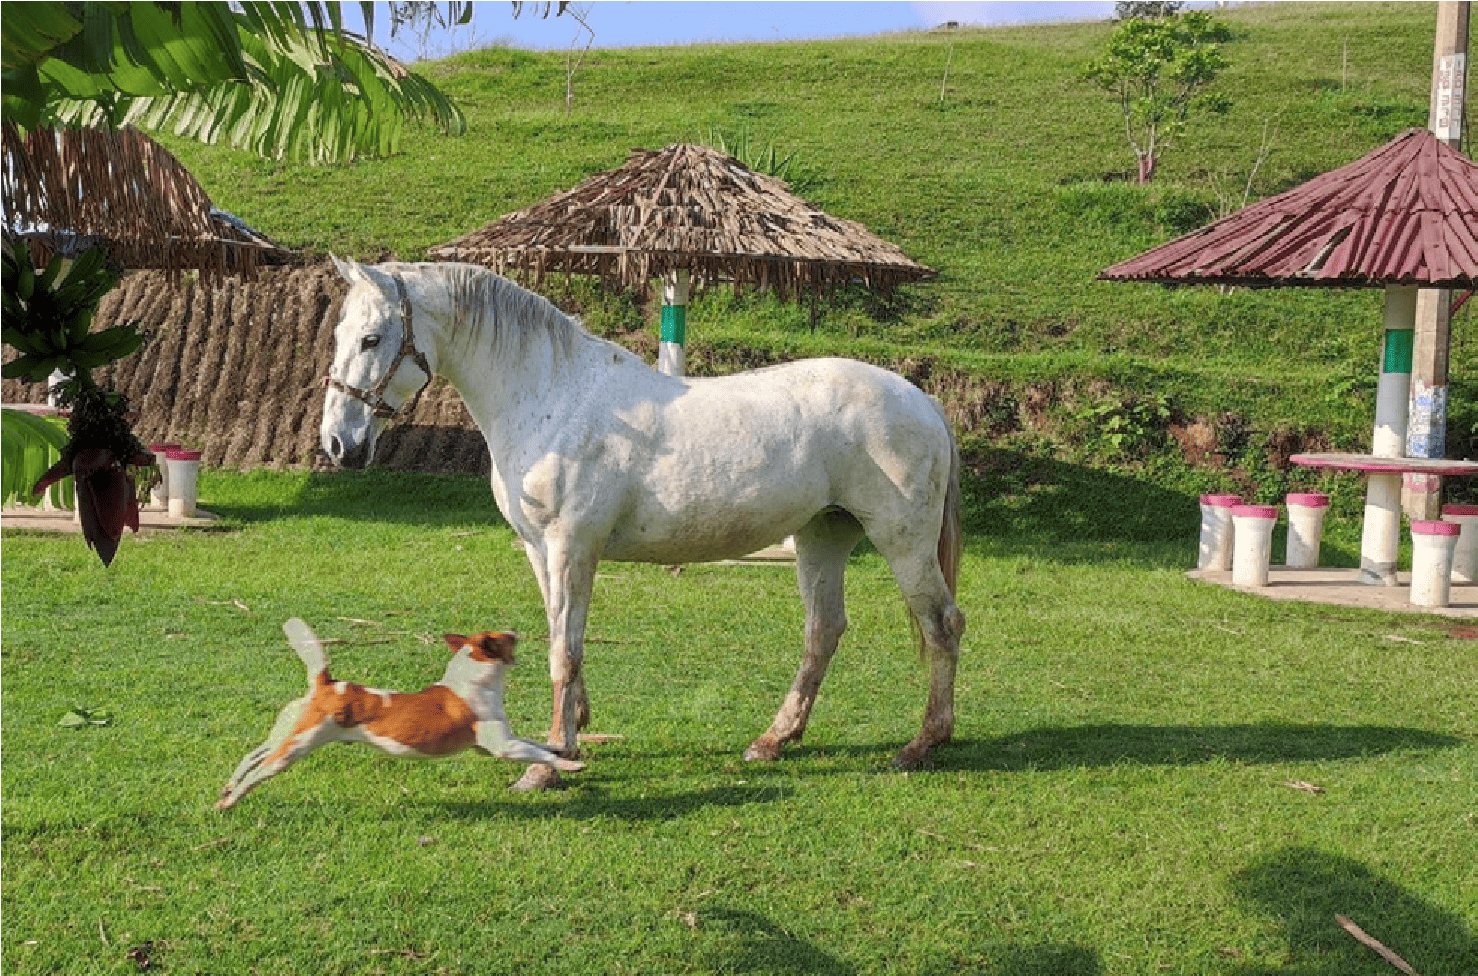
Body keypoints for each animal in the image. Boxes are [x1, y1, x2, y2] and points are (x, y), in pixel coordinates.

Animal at [320, 258, 965, 789]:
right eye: (339, 335)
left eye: (371, 338)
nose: (338, 444)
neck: (553, 396)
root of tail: (922, 400)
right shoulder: (540, 552)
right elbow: (561, 639)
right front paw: (572, 735)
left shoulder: (571, 547)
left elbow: (564, 652)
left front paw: (548, 764)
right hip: (821, 537)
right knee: (824, 631)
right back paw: (773, 741)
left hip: (902, 542)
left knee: (942, 626)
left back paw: (922, 745)